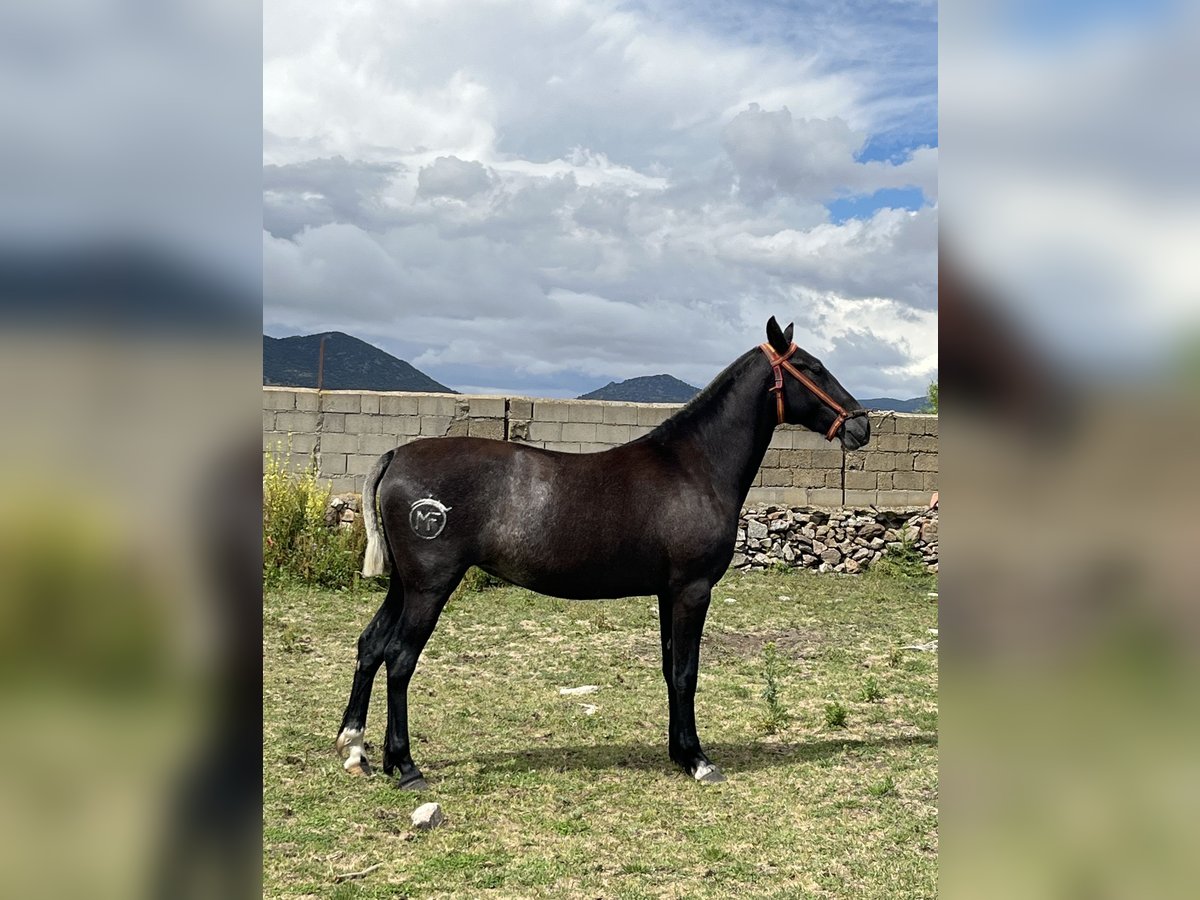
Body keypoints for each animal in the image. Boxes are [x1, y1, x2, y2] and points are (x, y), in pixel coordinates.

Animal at [333, 319, 868, 787]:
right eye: (812, 367)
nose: (860, 426)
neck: (693, 467)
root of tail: (396, 455)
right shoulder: (692, 590)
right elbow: (686, 672)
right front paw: (698, 761)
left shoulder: (668, 593)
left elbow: (670, 669)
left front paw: (679, 753)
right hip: (430, 587)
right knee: (400, 658)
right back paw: (405, 766)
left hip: (404, 585)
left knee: (371, 645)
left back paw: (357, 750)